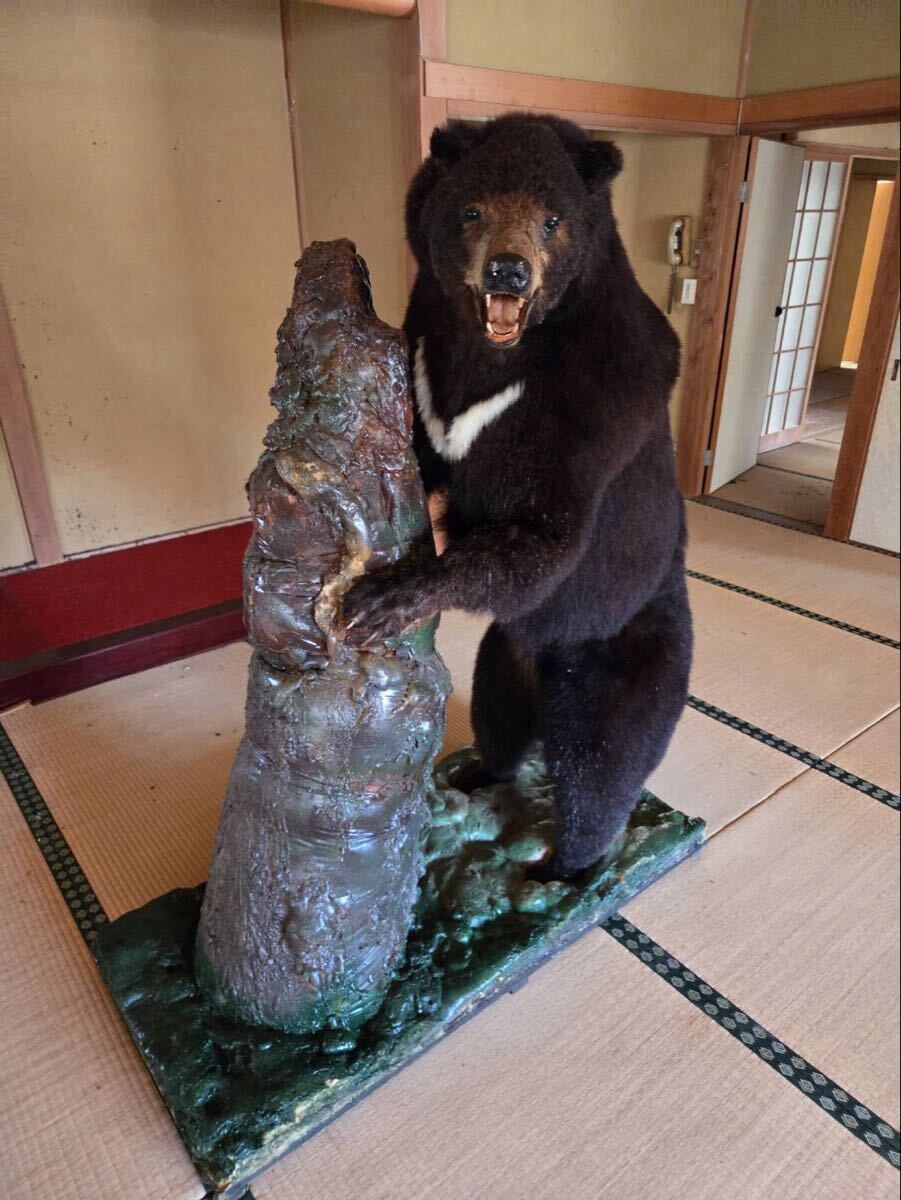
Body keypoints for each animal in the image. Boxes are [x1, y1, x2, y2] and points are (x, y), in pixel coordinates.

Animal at [343, 114, 693, 874]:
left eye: (552, 220)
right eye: (472, 210)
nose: (509, 268)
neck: (499, 351)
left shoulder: (592, 406)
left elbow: (544, 535)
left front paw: (380, 600)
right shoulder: (426, 351)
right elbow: (419, 447)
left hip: (623, 660)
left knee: (600, 767)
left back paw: (568, 866)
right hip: (503, 655)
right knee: (498, 719)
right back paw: (475, 773)